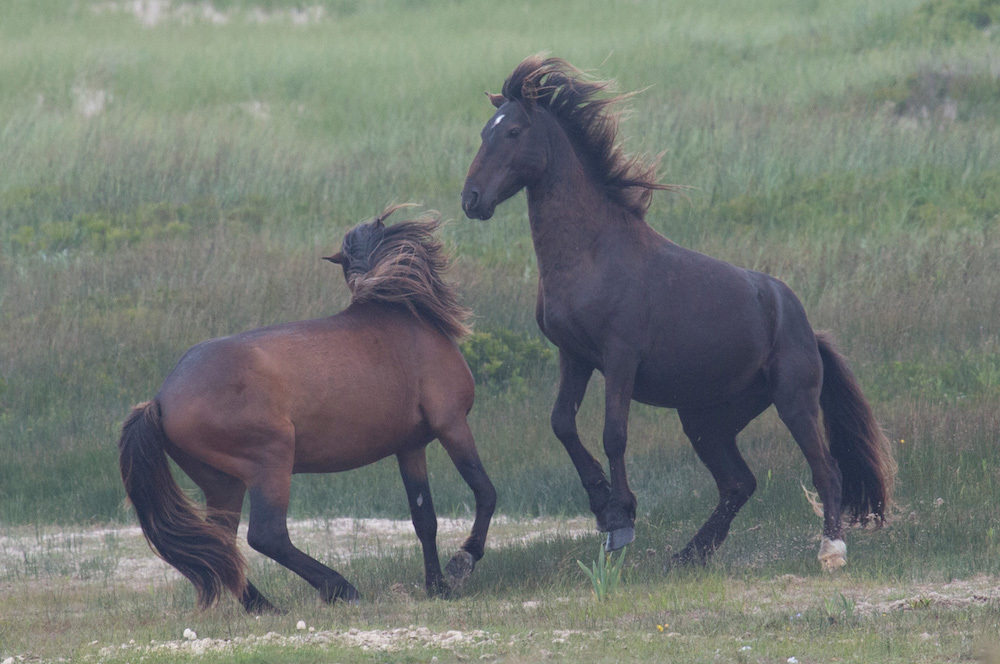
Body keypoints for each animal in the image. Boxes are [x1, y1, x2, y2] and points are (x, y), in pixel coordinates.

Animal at [119, 206, 494, 612]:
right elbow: (485, 492)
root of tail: (161, 399)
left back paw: (263, 607)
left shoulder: (410, 447)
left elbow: (424, 518)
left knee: (220, 544)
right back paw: (339, 588)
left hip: (223, 483)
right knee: (266, 536)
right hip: (271, 462)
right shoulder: (451, 424)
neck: (403, 316)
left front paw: (437, 585)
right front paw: (462, 564)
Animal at [462, 58, 900, 572]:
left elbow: (614, 434)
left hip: (794, 401)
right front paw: (603, 507)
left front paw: (621, 518)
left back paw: (831, 550)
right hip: (706, 420)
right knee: (738, 483)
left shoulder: (619, 358)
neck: (592, 252)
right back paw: (689, 555)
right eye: (483, 132)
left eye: (512, 131)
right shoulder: (575, 357)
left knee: (825, 470)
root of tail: (806, 326)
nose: (471, 200)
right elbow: (562, 424)